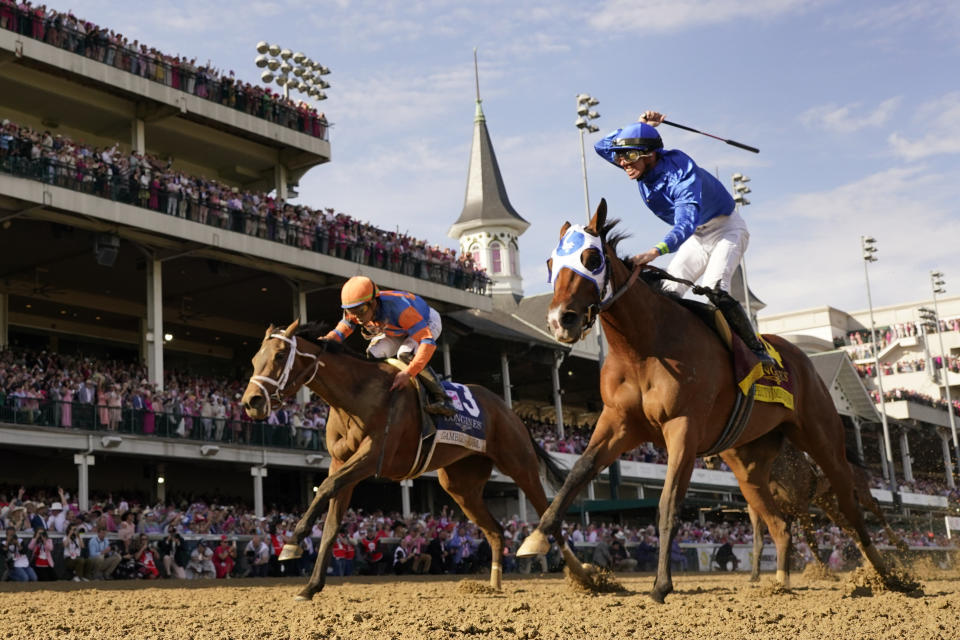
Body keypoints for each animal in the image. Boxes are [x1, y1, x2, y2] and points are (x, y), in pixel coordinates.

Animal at [244, 320, 580, 600]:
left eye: (279, 356)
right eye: (254, 359)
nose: (251, 402)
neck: (356, 395)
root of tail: (509, 411)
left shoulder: (372, 456)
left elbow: (325, 488)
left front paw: (292, 542)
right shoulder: (342, 463)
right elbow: (331, 524)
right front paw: (311, 586)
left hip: (520, 465)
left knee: (549, 515)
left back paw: (582, 575)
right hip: (461, 486)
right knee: (496, 529)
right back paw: (494, 585)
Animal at [516, 201, 900, 604]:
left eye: (590, 258)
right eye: (550, 263)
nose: (560, 320)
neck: (644, 345)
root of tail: (802, 359)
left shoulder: (683, 426)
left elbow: (668, 503)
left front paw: (661, 585)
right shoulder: (619, 422)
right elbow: (578, 471)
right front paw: (536, 537)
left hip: (821, 437)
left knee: (851, 505)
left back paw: (888, 573)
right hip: (750, 469)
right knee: (779, 524)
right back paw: (780, 582)